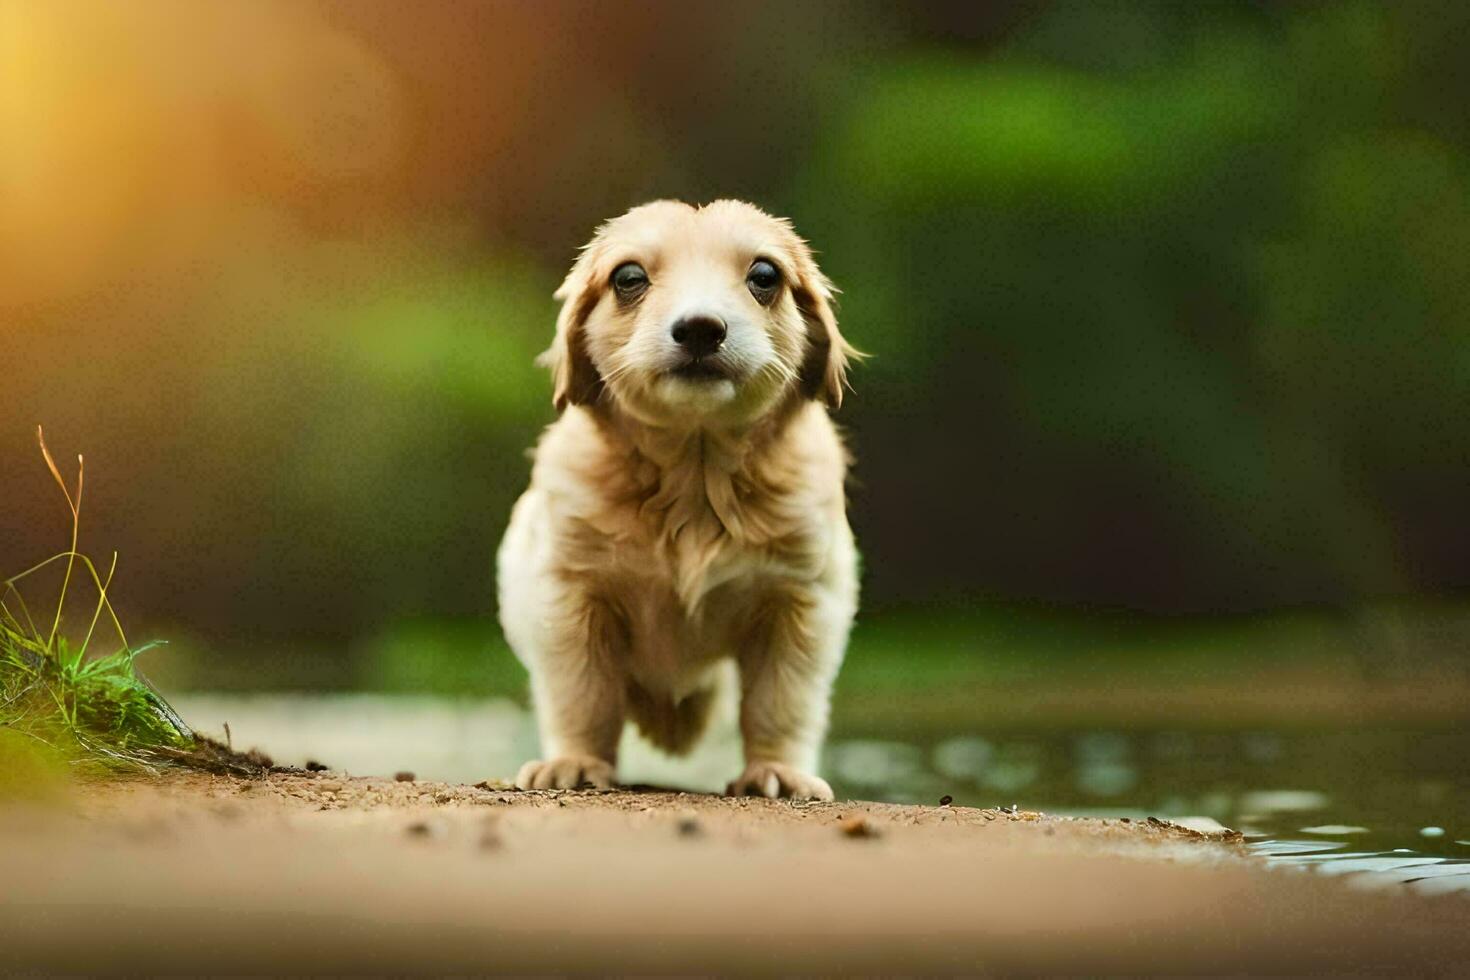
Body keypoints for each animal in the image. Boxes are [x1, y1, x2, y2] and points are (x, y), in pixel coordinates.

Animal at [499, 201, 858, 805]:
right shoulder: (567, 595)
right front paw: (576, 762)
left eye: (765, 276)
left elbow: (780, 702)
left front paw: (776, 770)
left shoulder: (801, 601)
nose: (700, 329)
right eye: (628, 278)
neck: (695, 478)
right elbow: (584, 694)